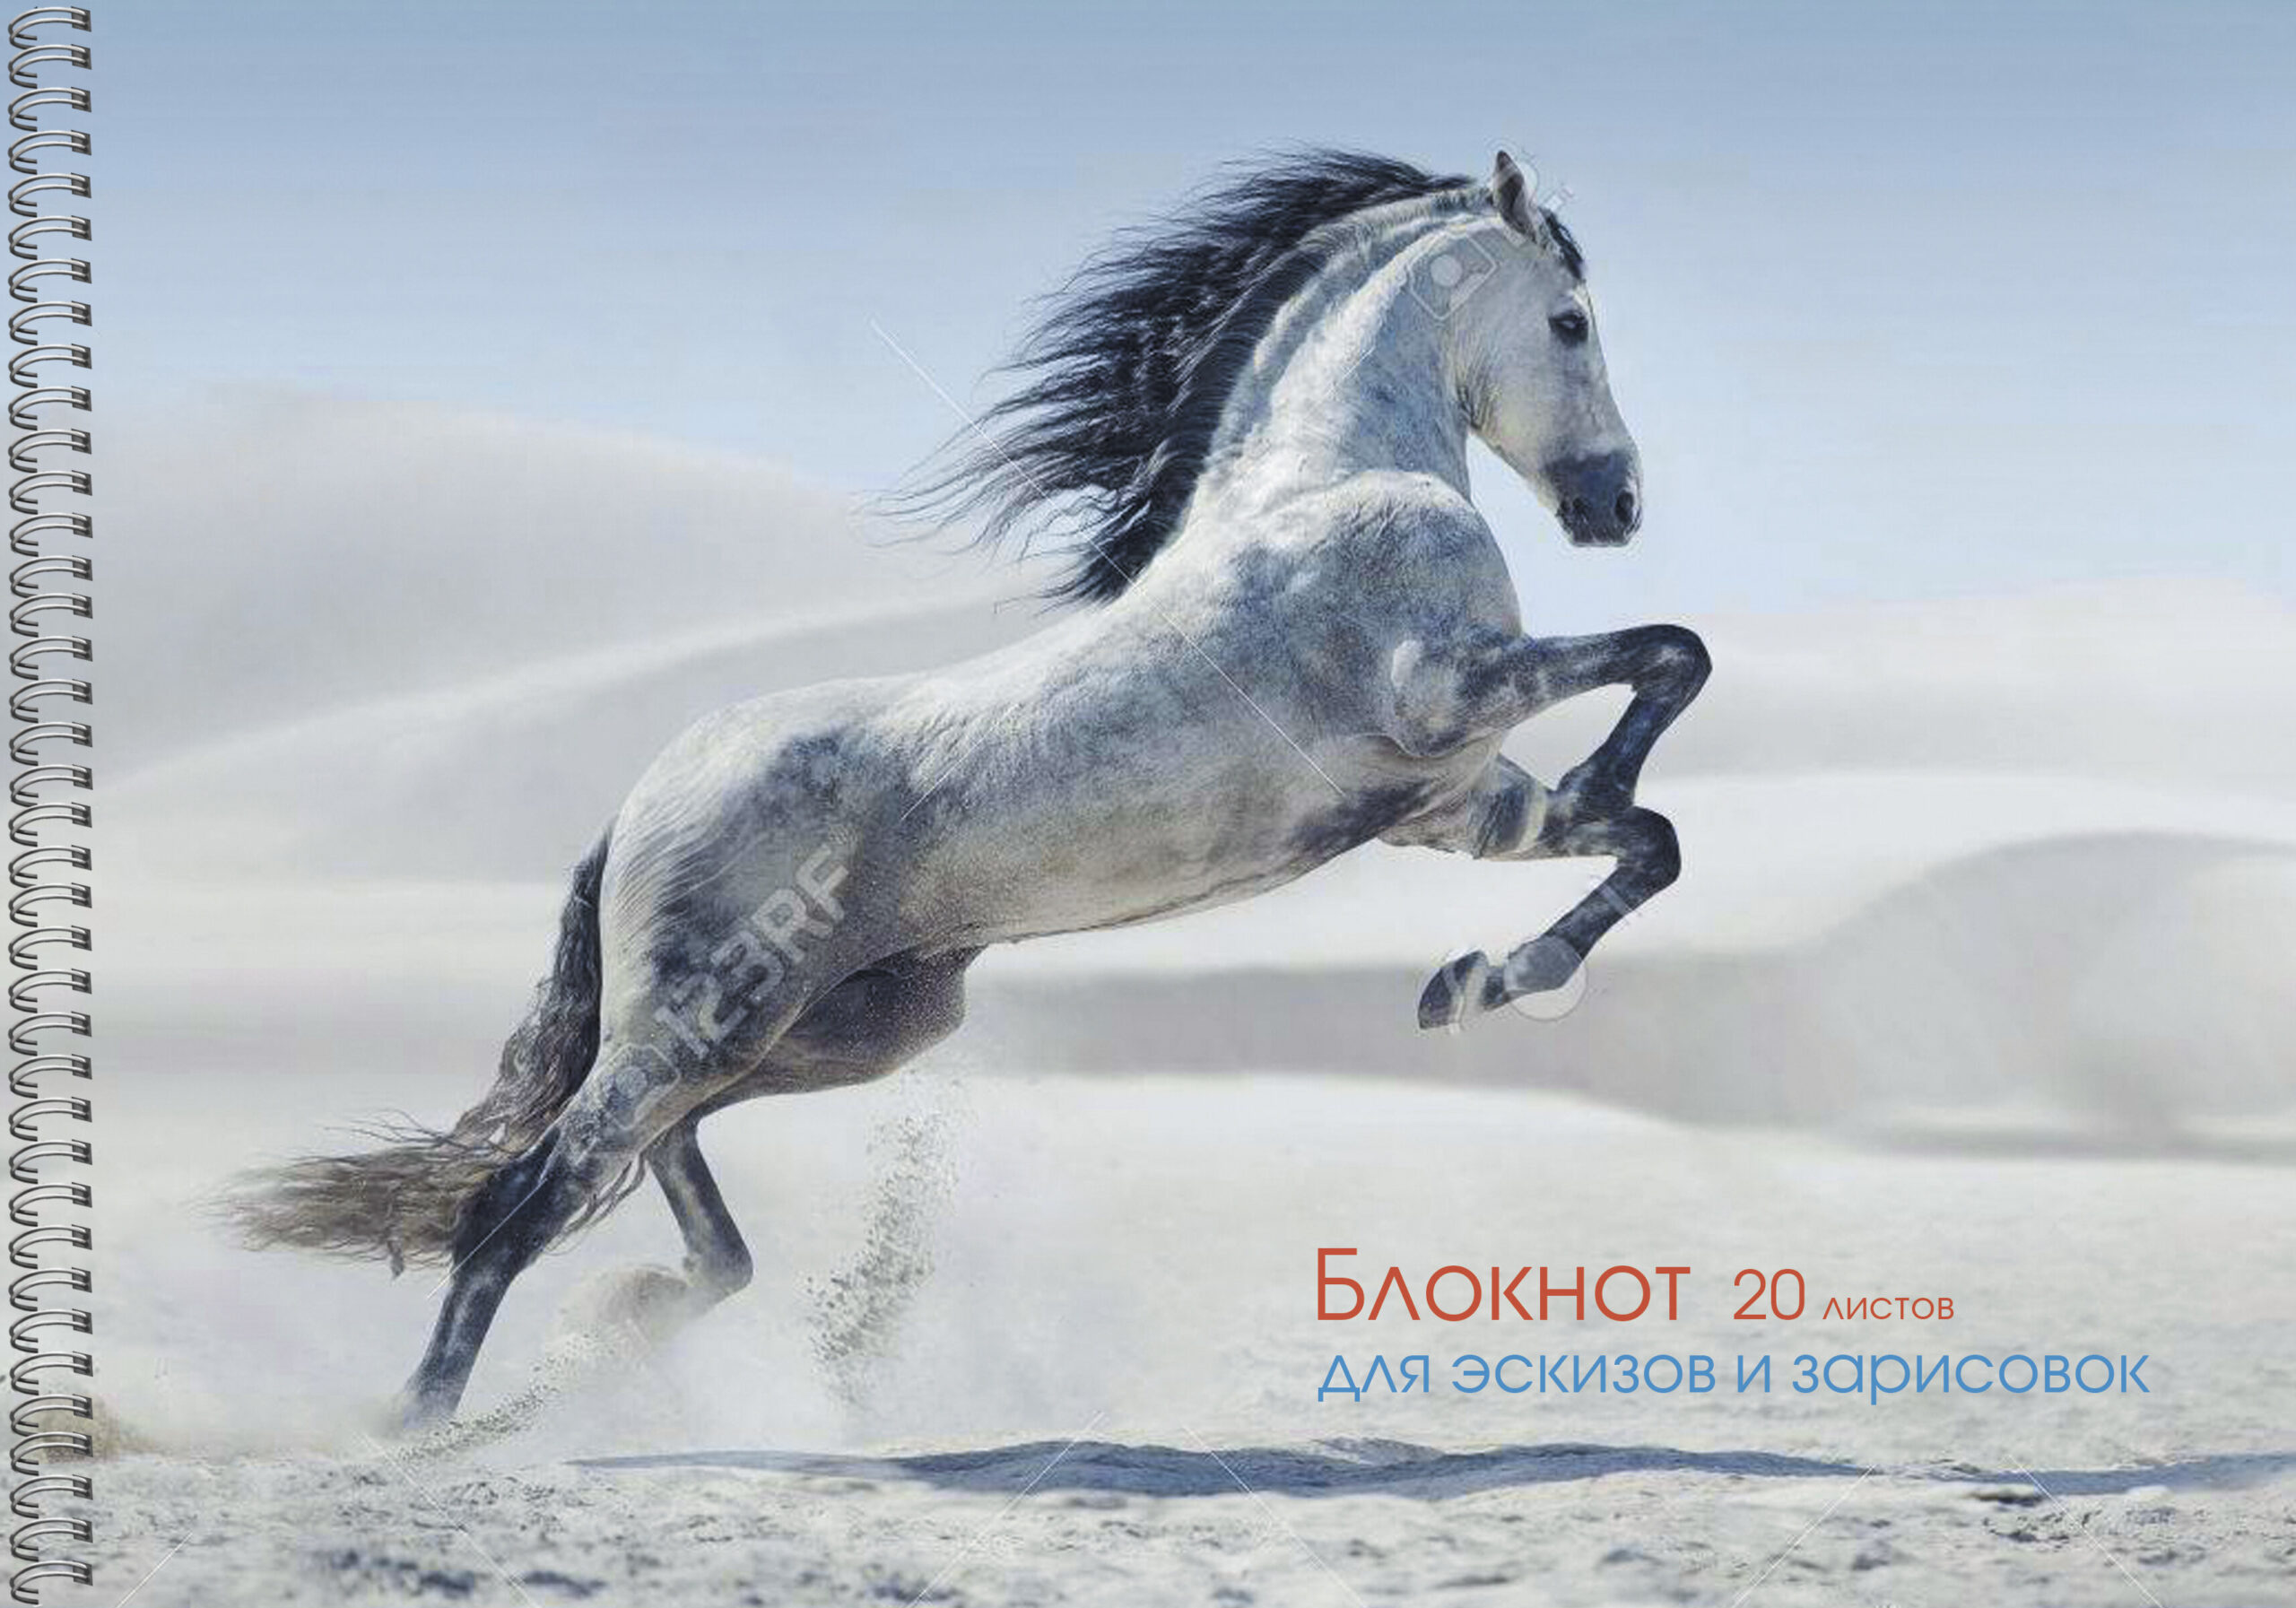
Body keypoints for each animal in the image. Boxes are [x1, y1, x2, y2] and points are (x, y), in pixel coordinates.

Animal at [227, 149, 1710, 1430]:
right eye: (1572, 320)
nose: (1619, 505)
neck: (1328, 483)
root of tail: (638, 804)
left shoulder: (1453, 804)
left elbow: (1651, 837)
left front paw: (1480, 982)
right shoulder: (1443, 695)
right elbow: (1671, 657)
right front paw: (1515, 926)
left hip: (840, 1031)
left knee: (662, 1173)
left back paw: (616, 1328)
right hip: (710, 1022)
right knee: (529, 1193)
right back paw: (419, 1426)